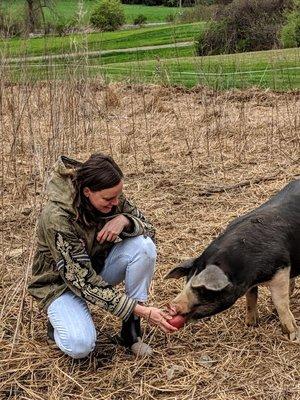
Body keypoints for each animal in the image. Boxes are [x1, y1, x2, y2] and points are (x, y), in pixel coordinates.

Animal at [166, 180, 300, 342]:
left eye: (202, 290)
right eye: (187, 280)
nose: (171, 306)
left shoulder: (281, 269)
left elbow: (281, 303)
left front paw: (292, 335)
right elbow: (251, 297)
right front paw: (250, 324)